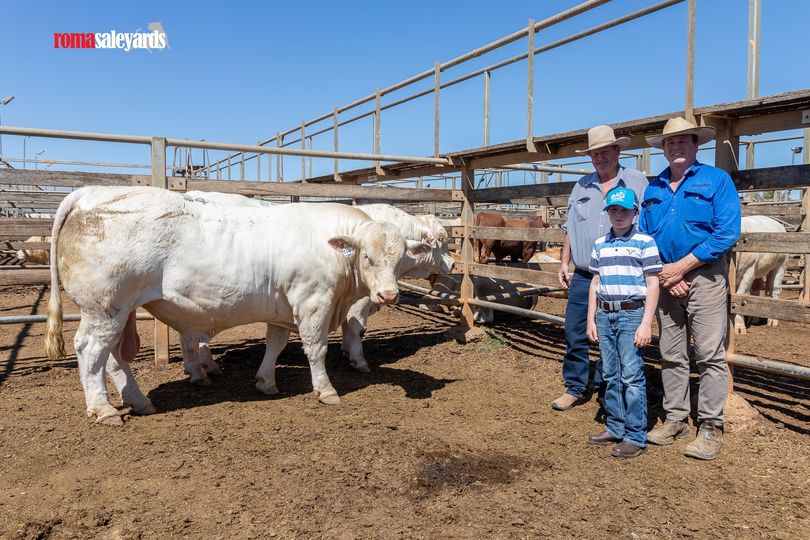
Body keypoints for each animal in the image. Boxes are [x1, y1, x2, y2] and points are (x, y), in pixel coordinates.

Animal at [45, 187, 430, 426]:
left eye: (400, 259)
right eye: (367, 257)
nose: (389, 295)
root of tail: (90, 191)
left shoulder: (282, 307)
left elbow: (276, 344)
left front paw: (266, 381)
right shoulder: (312, 302)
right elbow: (316, 349)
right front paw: (326, 391)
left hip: (117, 311)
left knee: (113, 357)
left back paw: (138, 401)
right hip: (104, 307)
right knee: (90, 350)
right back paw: (103, 409)